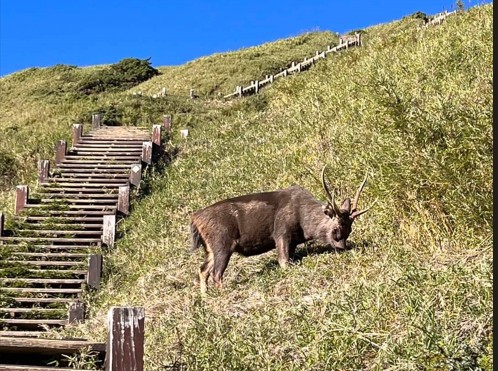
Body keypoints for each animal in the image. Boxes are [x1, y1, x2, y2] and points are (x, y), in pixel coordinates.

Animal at [189, 167, 372, 294]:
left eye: (349, 230)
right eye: (336, 229)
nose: (343, 248)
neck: (304, 224)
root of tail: (195, 219)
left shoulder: (293, 241)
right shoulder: (281, 232)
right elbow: (283, 262)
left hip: (210, 248)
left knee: (202, 270)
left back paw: (205, 296)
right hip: (223, 242)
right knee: (216, 274)